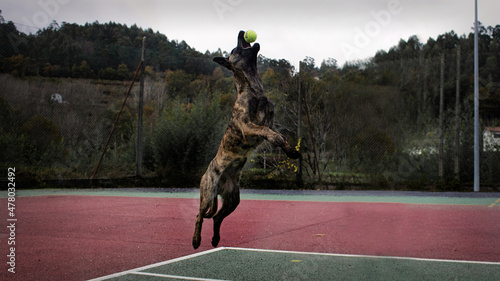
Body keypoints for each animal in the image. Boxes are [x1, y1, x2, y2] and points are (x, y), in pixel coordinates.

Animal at [192, 31, 300, 249]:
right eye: (235, 49)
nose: (242, 31)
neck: (253, 89)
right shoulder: (247, 126)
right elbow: (268, 132)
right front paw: (278, 142)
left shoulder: (269, 122)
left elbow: (280, 136)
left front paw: (291, 151)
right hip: (208, 193)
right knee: (199, 215)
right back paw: (196, 240)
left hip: (233, 199)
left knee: (216, 217)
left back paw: (215, 239)